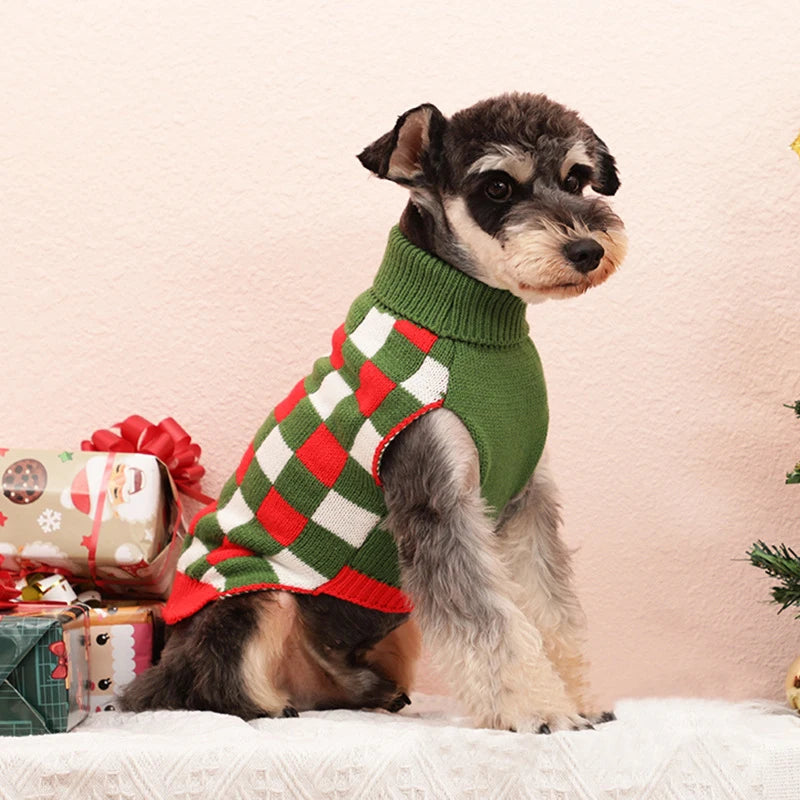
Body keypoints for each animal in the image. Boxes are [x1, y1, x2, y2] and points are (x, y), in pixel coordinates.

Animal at [122, 92, 628, 732]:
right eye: (496, 187)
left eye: (577, 178)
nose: (588, 250)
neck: (474, 328)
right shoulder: (436, 499)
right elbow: (491, 622)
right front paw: (540, 712)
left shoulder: (524, 503)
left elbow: (551, 608)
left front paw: (576, 699)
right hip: (257, 600)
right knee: (207, 685)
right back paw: (269, 704)